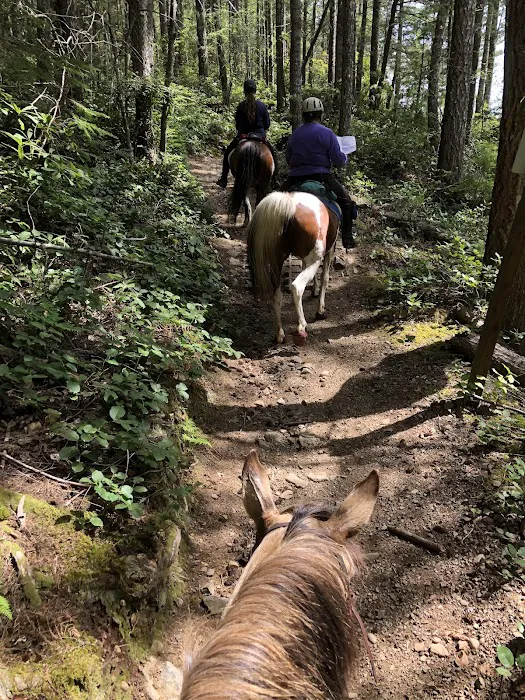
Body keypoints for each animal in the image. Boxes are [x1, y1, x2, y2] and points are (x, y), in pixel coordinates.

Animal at [247, 190, 340, 344]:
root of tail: (288, 203)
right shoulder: (329, 251)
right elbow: (325, 278)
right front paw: (320, 311)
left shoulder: (304, 258)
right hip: (314, 259)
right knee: (297, 286)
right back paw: (301, 327)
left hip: (277, 261)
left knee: (276, 294)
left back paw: (279, 334)